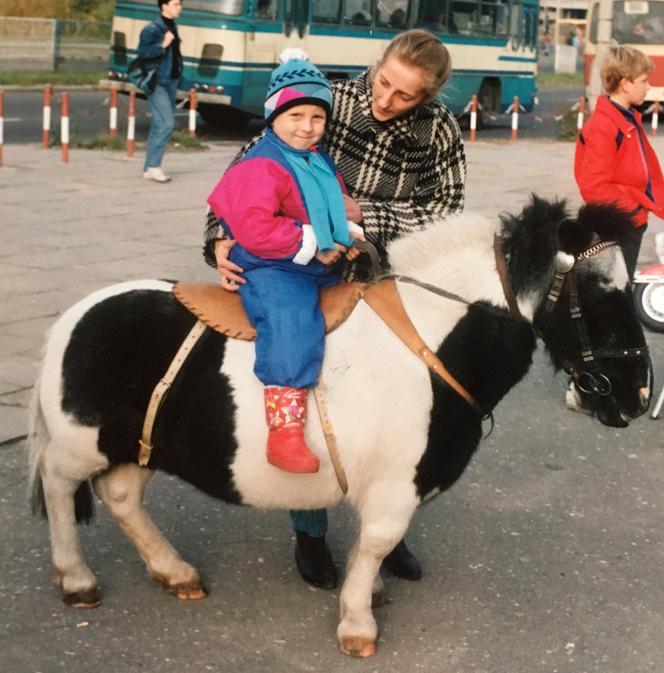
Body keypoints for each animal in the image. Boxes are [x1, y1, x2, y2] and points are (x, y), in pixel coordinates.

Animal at [28, 196, 652, 656]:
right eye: (601, 291)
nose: (641, 392)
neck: (430, 339)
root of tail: (75, 317)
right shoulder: (397, 486)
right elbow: (378, 541)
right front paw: (357, 621)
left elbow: (373, 546)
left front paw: (368, 592)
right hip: (80, 446)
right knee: (59, 488)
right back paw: (77, 578)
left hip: (137, 445)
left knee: (121, 497)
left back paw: (174, 570)